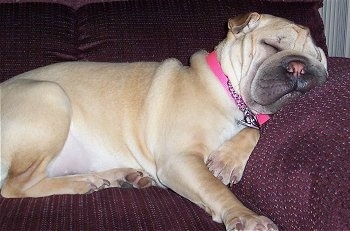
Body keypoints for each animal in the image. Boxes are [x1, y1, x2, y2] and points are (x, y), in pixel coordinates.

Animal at [0, 13, 328, 231]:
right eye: (271, 46)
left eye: (320, 60)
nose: (300, 67)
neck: (229, 91)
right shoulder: (180, 159)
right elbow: (216, 189)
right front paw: (246, 216)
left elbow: (253, 132)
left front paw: (228, 159)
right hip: (51, 95)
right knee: (14, 187)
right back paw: (84, 183)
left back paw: (115, 176)